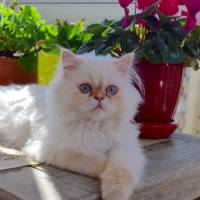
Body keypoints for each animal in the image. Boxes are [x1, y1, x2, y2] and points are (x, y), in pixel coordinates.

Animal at [0, 48, 145, 200]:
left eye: (111, 90)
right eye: (85, 88)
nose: (99, 98)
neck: (93, 127)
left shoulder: (126, 148)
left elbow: (120, 170)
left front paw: (115, 194)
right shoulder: (50, 148)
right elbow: (91, 160)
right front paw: (103, 166)